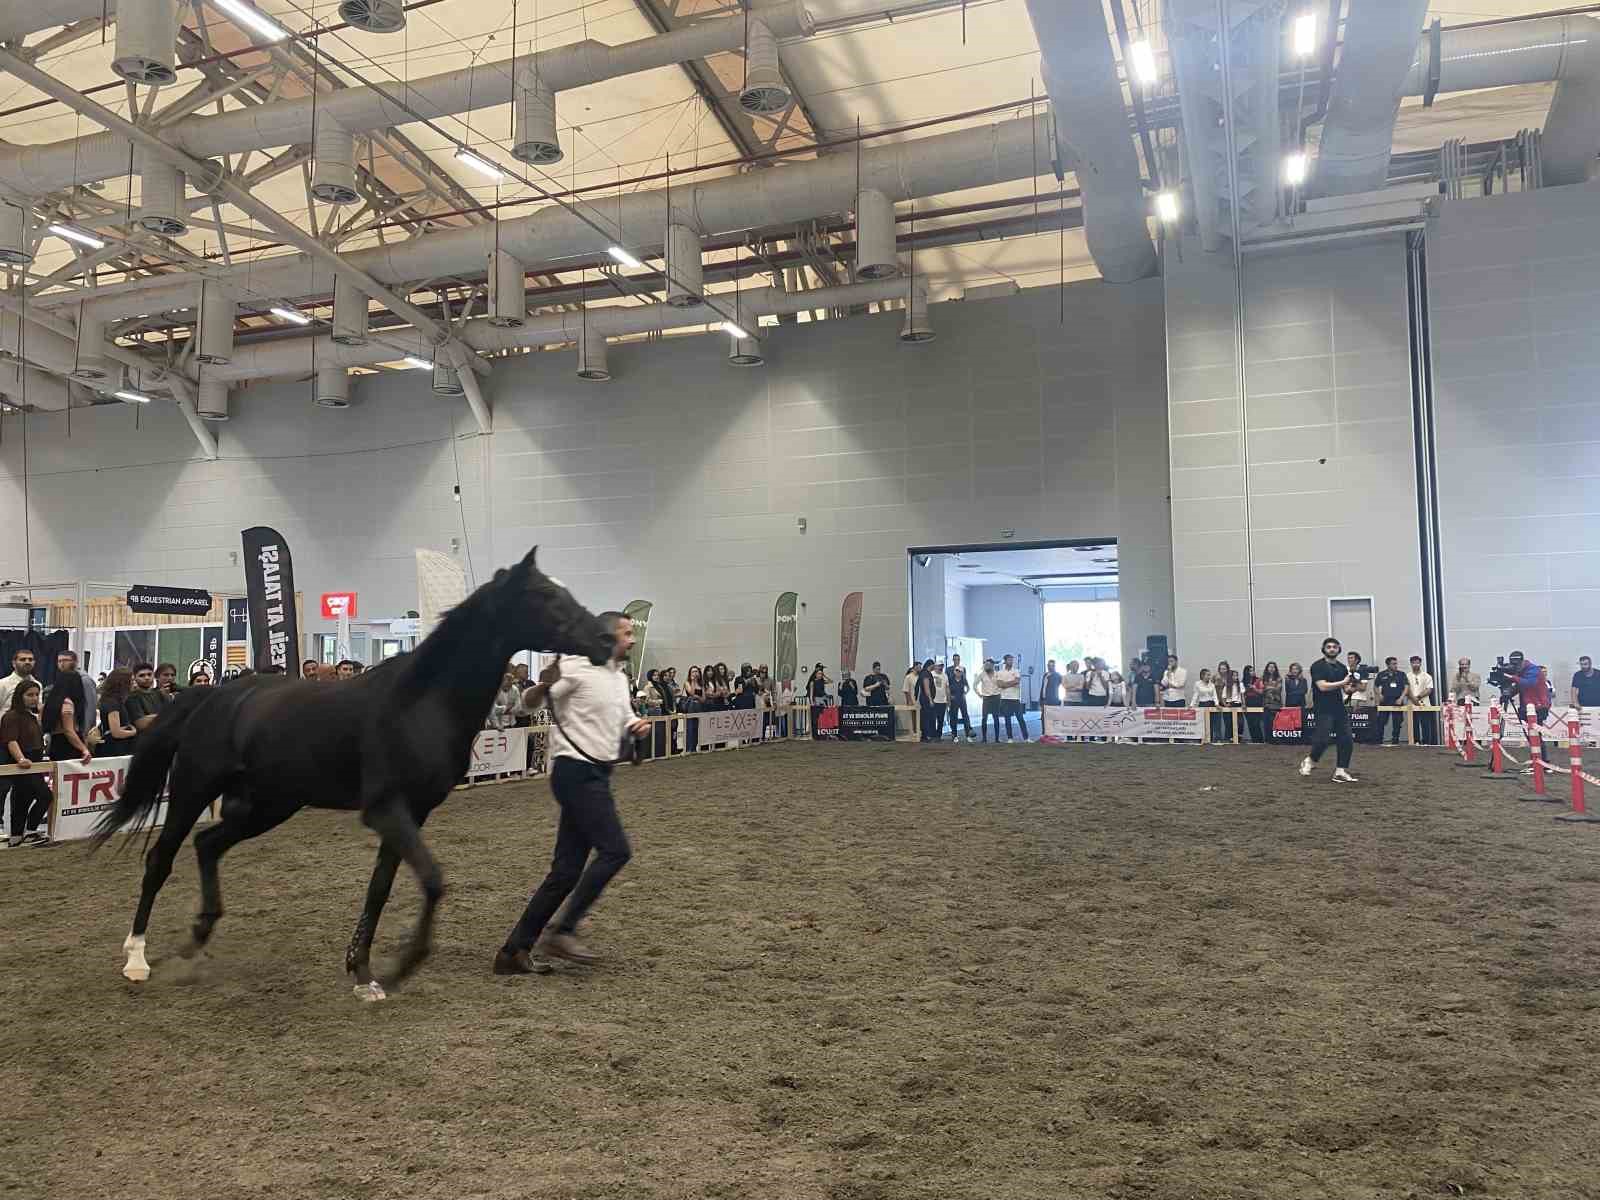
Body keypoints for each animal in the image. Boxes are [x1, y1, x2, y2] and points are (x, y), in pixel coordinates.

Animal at [95, 550, 611, 998]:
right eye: (544, 595)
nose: (605, 641)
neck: (421, 702)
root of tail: (210, 697)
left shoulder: (412, 813)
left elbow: (381, 888)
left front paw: (363, 972)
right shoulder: (385, 809)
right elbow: (433, 879)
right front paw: (402, 965)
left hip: (268, 805)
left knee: (207, 845)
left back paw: (197, 937)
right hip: (194, 791)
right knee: (161, 859)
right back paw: (137, 959)